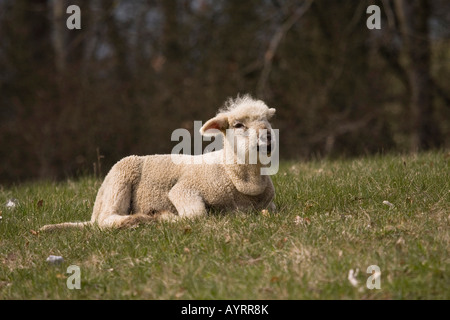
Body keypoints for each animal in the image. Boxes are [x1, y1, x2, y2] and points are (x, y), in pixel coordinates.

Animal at [40, 94, 276, 231]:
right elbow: (196, 216)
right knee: (105, 221)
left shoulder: (268, 206)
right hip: (120, 177)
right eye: (238, 125)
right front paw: (165, 217)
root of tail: (94, 209)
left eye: (267, 120)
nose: (267, 136)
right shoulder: (183, 189)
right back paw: (135, 220)